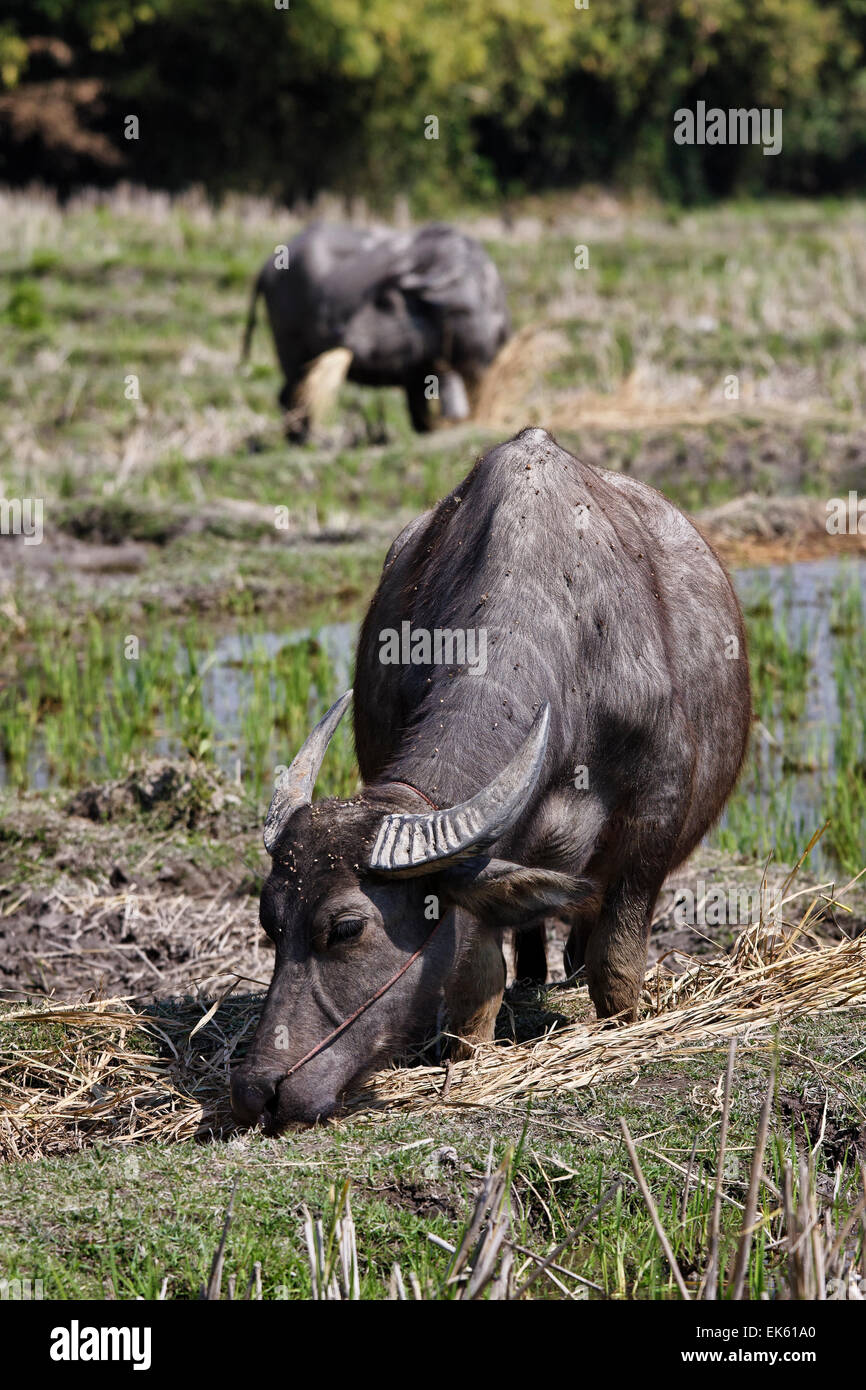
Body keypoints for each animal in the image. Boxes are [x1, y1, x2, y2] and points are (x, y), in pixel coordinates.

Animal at [232, 422, 750, 1128]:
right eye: (270, 921)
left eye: (346, 928)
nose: (259, 1088)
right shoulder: (480, 865)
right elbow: (475, 976)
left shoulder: (653, 824)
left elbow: (616, 968)